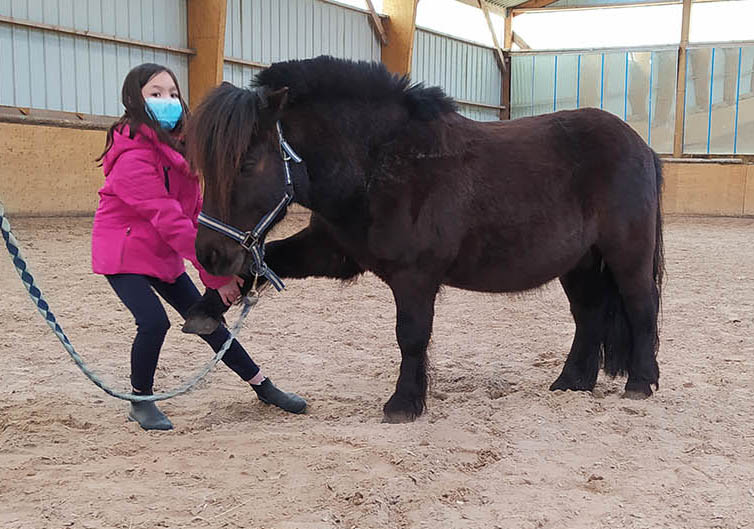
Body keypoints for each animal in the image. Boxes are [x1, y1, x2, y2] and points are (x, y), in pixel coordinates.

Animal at [185, 55, 660, 422]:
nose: (209, 254)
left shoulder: (415, 276)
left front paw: (404, 404)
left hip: (627, 256)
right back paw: (571, 383)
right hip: (580, 263)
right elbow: (269, 261)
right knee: (589, 316)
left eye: (247, 163)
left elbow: (411, 335)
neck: (380, 163)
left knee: (641, 307)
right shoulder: (333, 253)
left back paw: (641, 382)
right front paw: (206, 309)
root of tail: (640, 145)